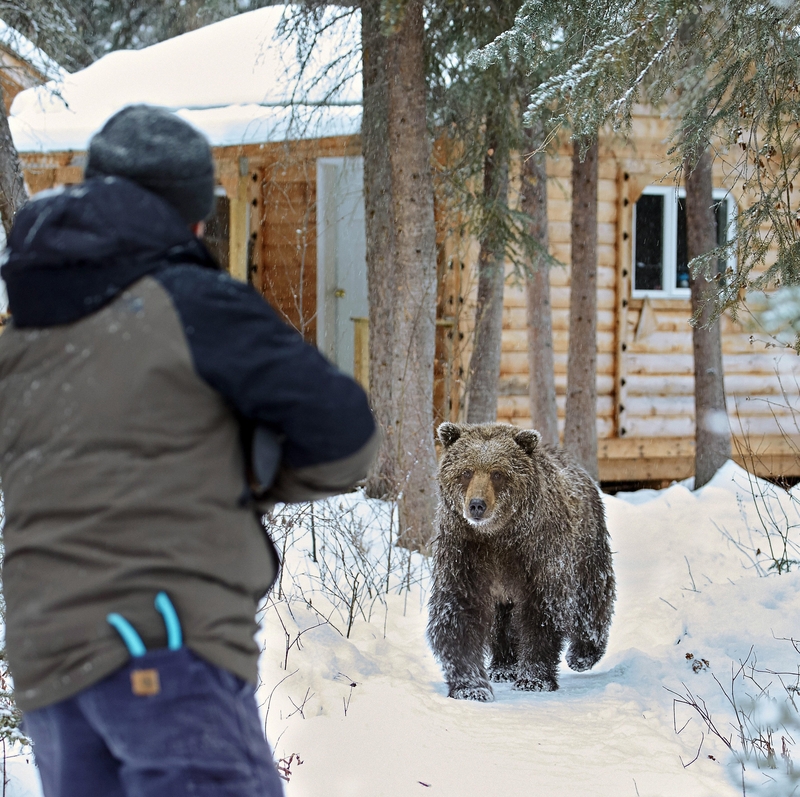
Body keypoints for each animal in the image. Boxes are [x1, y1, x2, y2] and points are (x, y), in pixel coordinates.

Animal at [428, 420, 616, 700]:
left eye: (497, 473)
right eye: (466, 471)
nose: (477, 505)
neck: (497, 536)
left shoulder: (536, 553)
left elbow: (541, 612)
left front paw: (534, 679)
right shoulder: (465, 552)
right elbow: (458, 611)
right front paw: (471, 687)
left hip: (587, 544)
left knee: (592, 596)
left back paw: (583, 654)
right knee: (501, 621)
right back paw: (503, 666)